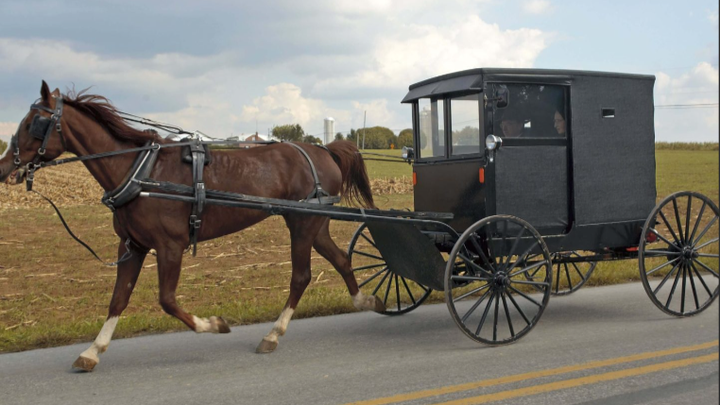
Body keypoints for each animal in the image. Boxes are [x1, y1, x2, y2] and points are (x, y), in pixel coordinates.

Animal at [1, 82, 388, 372]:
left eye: (34, 122)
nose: (6, 168)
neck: (141, 170)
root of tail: (324, 150)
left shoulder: (169, 246)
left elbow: (167, 300)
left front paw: (214, 324)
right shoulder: (132, 245)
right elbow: (118, 299)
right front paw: (92, 351)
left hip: (303, 224)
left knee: (301, 276)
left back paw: (273, 334)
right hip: (313, 224)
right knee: (340, 259)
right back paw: (366, 299)